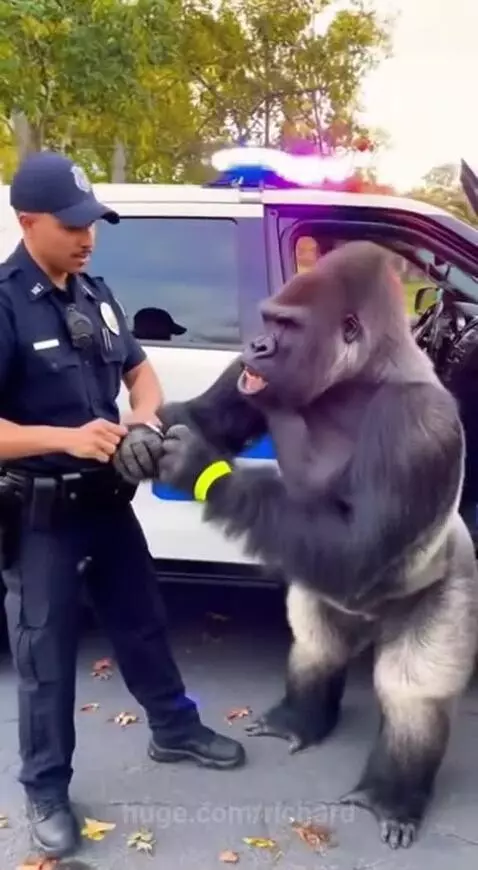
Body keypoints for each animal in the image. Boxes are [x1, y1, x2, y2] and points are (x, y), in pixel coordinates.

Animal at [113, 241, 478, 850]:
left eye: (287, 326)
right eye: (268, 320)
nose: (257, 345)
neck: (357, 379)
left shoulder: (418, 426)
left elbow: (359, 548)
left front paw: (195, 466)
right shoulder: (249, 379)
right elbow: (203, 417)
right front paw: (140, 442)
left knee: (411, 693)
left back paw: (391, 795)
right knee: (316, 647)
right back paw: (301, 718)